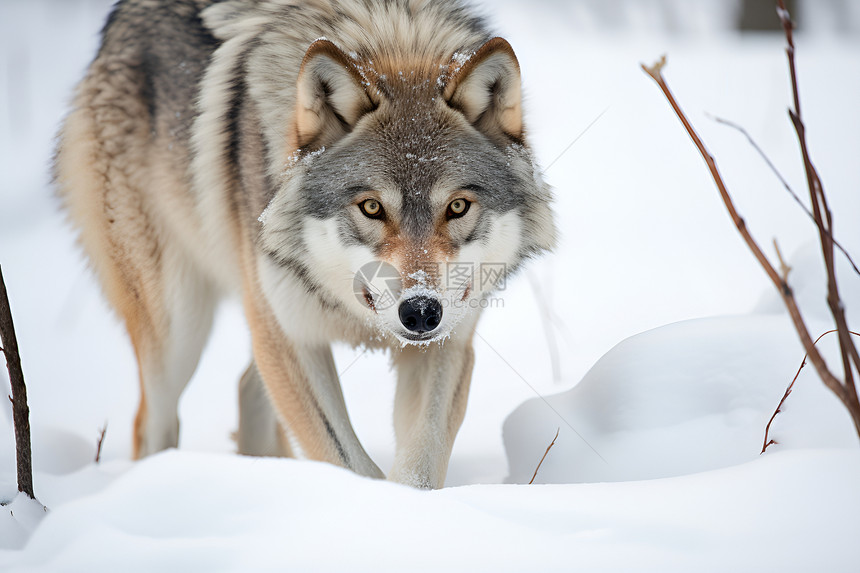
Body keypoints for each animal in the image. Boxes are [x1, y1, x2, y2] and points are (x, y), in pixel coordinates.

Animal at [53, 0, 556, 488]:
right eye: (371, 207)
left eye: (457, 207)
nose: (420, 312)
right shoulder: (288, 337)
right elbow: (350, 463)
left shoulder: (446, 344)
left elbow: (420, 467)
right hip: (180, 330)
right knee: (153, 422)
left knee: (244, 387)